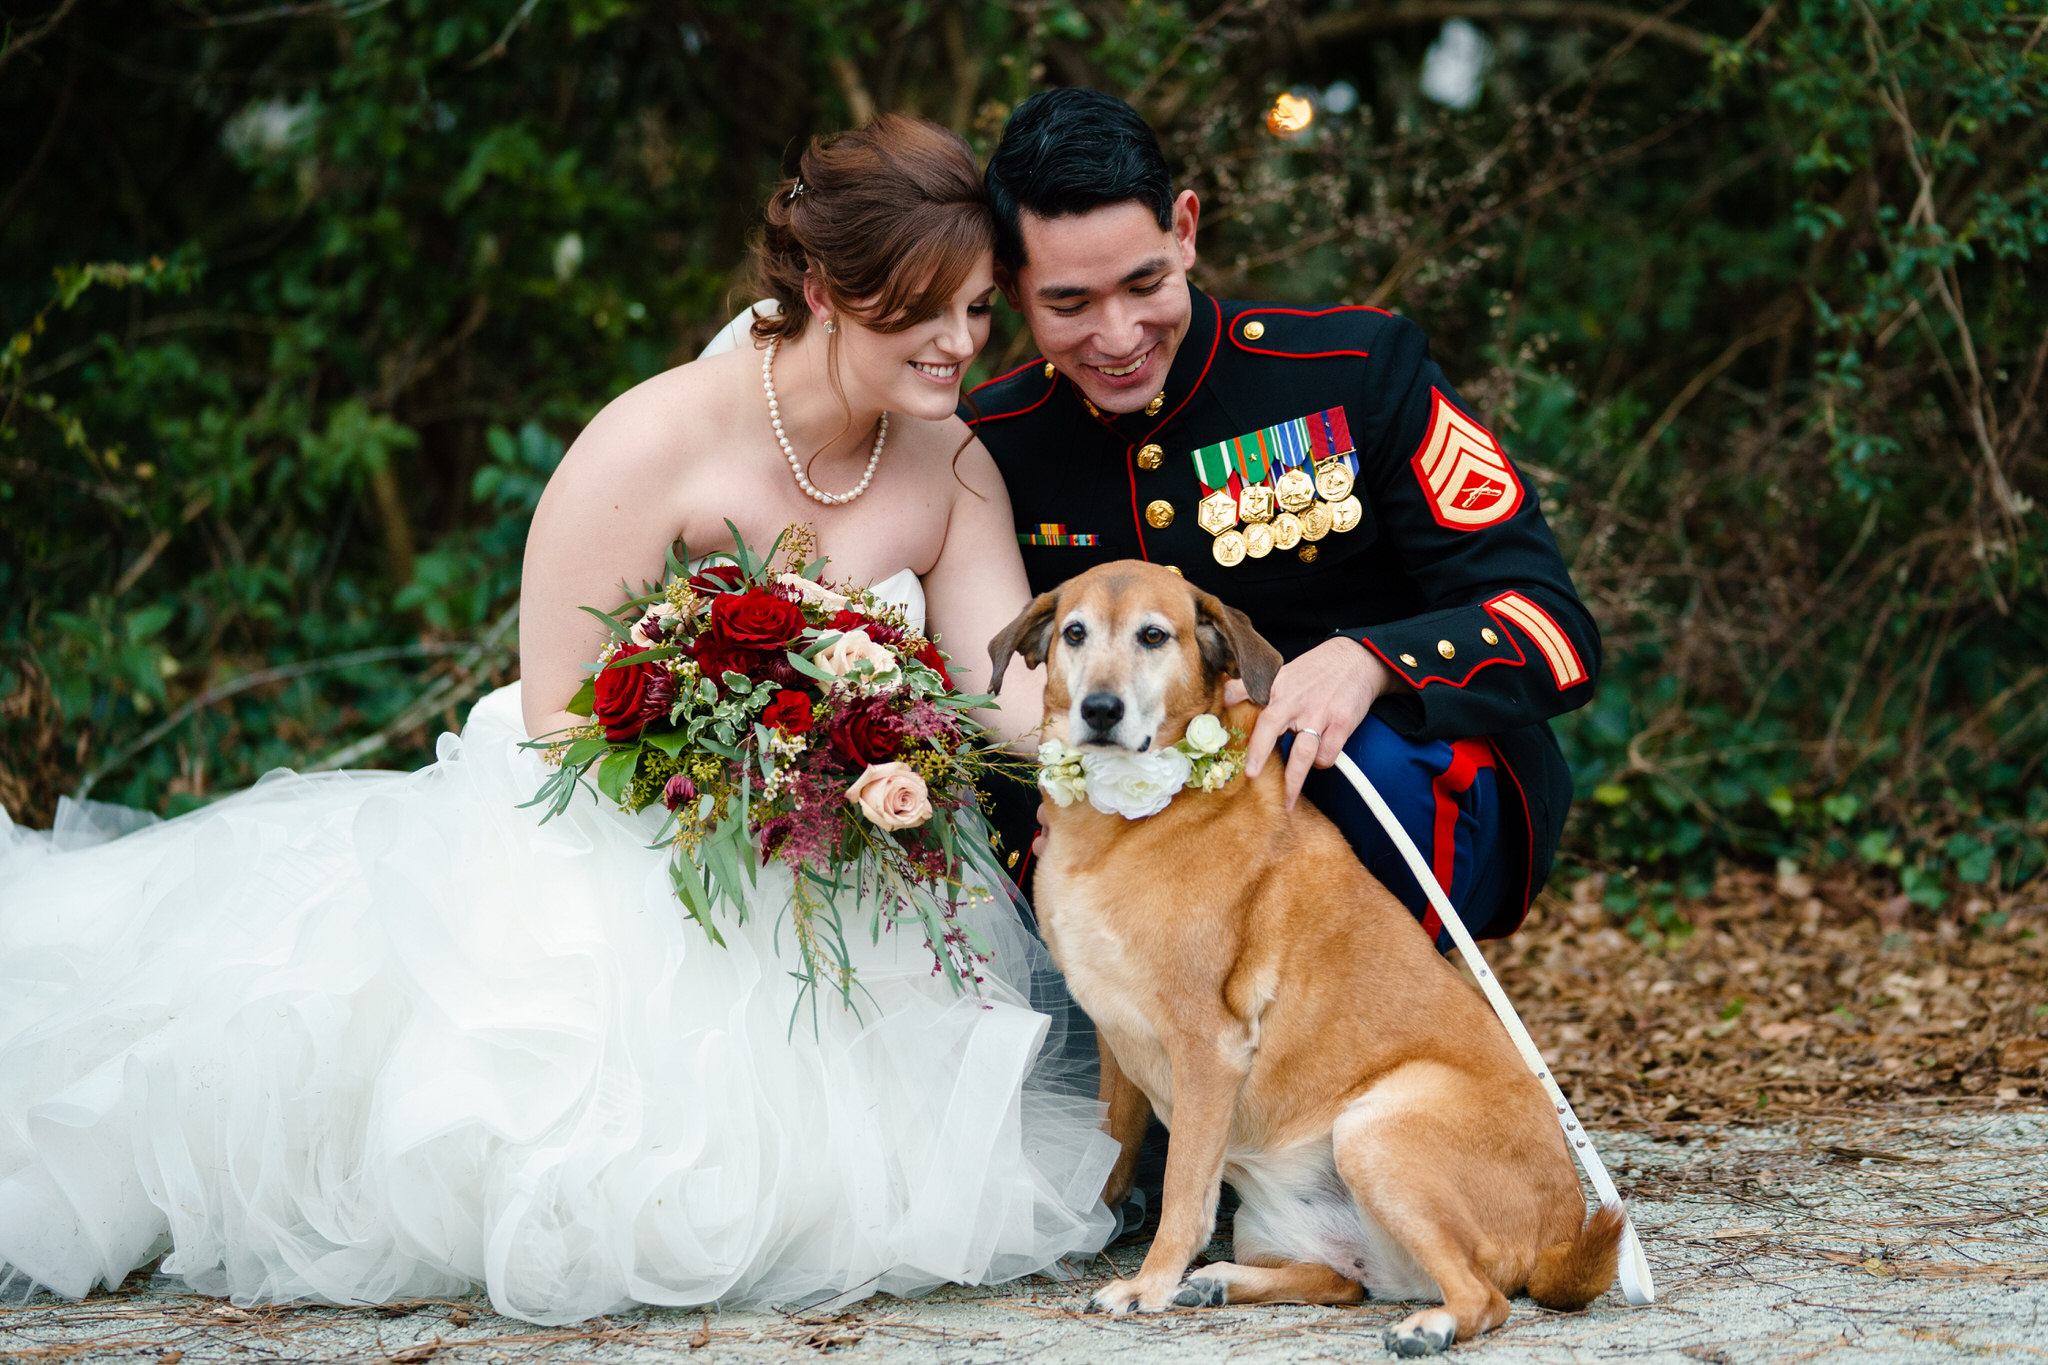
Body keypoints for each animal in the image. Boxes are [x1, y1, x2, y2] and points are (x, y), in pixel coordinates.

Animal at [983, 564, 1622, 1358]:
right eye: (1074, 633)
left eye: (1154, 636)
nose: (1100, 710)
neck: (1126, 821)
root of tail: (1558, 1236)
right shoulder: (1114, 1034)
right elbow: (1112, 1147)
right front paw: (1087, 1228)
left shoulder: (1208, 1046)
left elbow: (1183, 1190)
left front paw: (1148, 1282)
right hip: (1280, 1220)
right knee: (1345, 1281)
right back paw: (1220, 1281)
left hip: (1374, 1132)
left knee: (1485, 1297)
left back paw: (1428, 1323)